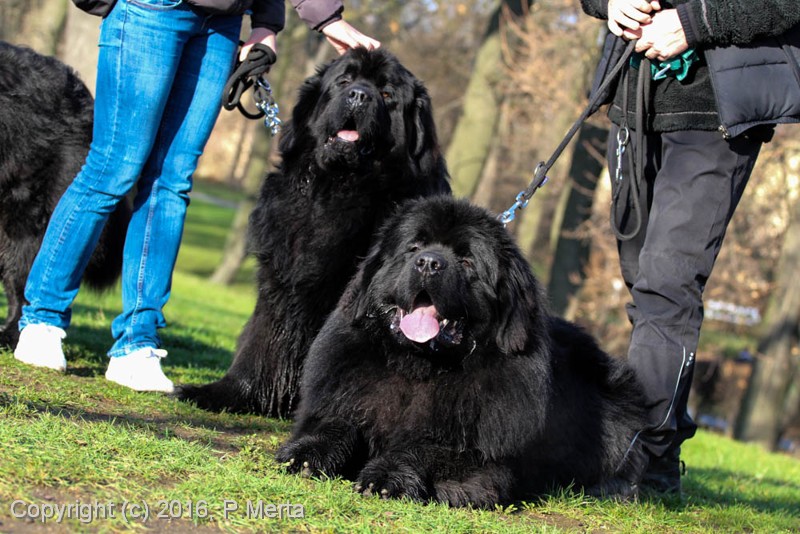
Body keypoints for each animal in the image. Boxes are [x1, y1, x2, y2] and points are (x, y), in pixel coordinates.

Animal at [177, 48, 451, 417]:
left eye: (387, 94)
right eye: (345, 81)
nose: (359, 96)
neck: (336, 189)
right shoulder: (280, 279)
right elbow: (262, 342)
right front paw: (229, 393)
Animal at [276, 196, 648, 507]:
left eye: (467, 261)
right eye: (413, 248)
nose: (428, 263)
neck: (419, 367)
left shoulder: (481, 455)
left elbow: (428, 448)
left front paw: (387, 475)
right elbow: (339, 422)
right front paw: (306, 452)